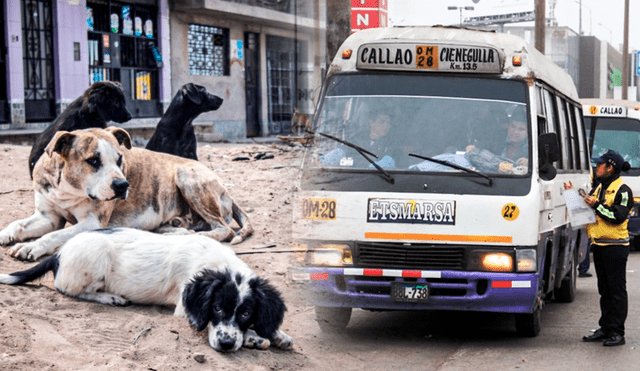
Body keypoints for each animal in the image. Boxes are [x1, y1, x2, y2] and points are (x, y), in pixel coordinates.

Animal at [0, 128, 254, 262]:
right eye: (93, 161)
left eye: (120, 159)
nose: (122, 185)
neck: (70, 188)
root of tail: (225, 189)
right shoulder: (48, 216)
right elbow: (19, 224)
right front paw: (6, 233)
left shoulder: (92, 223)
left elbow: (54, 236)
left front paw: (31, 247)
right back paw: (176, 227)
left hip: (186, 175)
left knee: (223, 229)